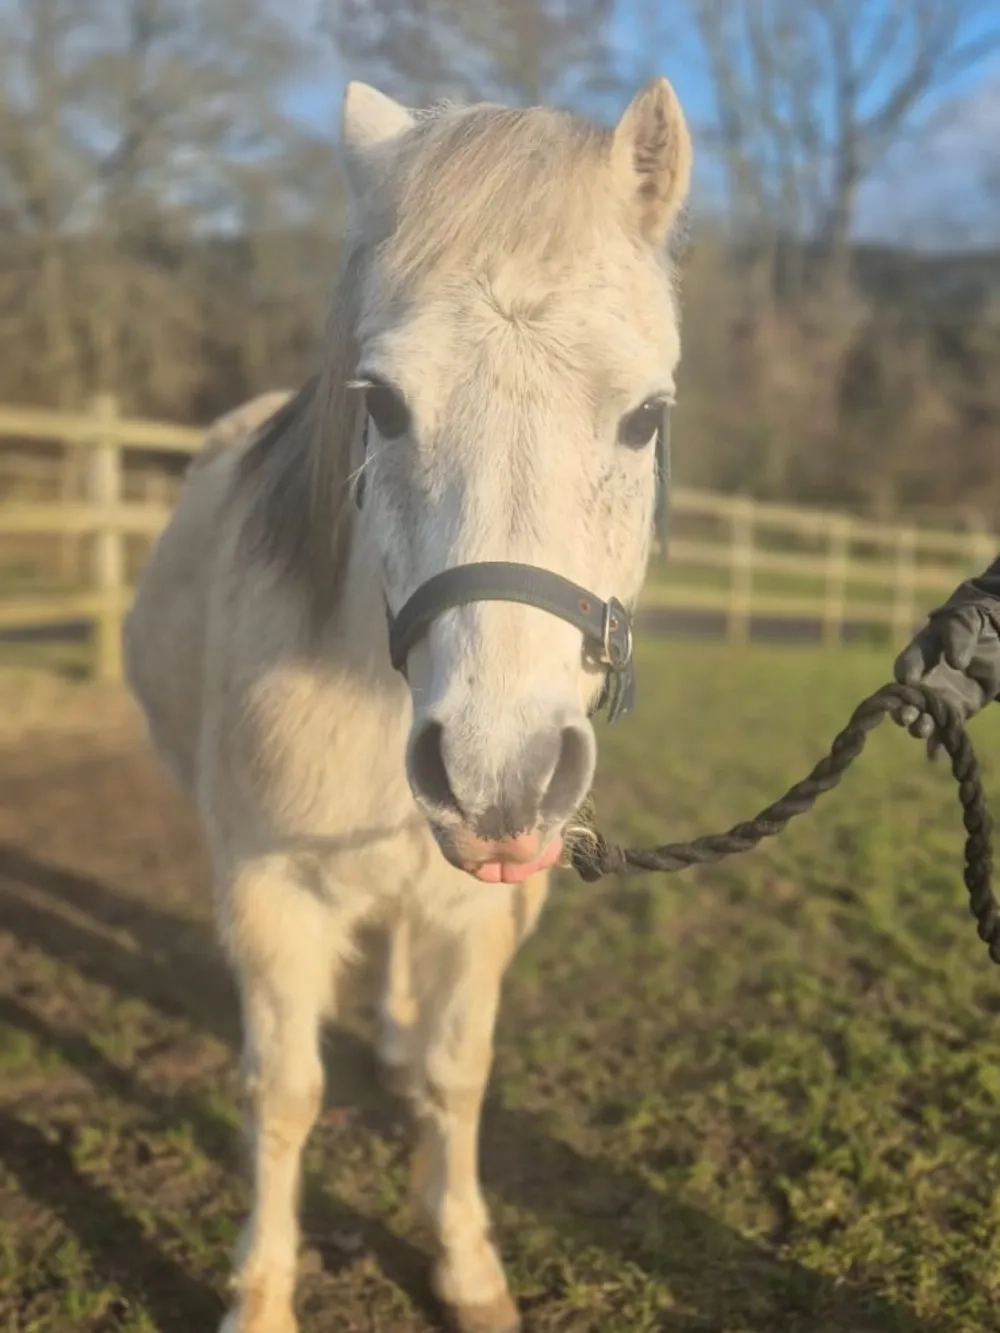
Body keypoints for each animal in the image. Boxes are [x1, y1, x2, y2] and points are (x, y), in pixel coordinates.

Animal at [124, 76, 692, 1333]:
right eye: (378, 403)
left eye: (644, 416)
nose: (497, 776)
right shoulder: (270, 891)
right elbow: (284, 1092)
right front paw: (261, 1293)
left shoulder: (479, 903)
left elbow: (454, 1073)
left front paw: (464, 1263)